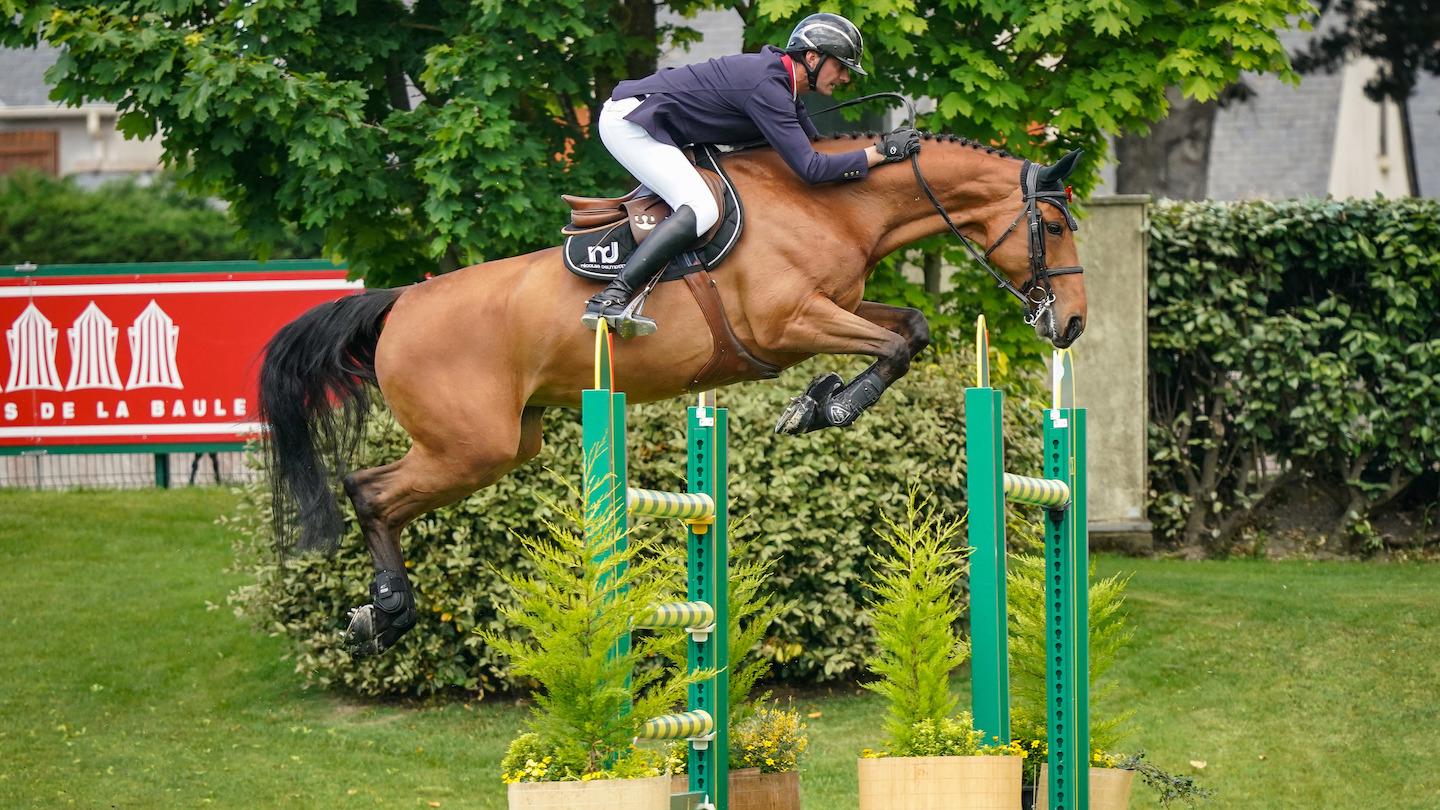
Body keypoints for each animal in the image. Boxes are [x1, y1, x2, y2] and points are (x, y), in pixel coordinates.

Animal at [262, 128, 1088, 651]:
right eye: (1052, 224)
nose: (1073, 323)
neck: (831, 203)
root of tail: (401, 302)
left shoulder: (837, 306)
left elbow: (907, 329)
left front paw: (821, 399)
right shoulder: (790, 322)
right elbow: (889, 345)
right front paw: (823, 405)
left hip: (498, 446)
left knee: (378, 491)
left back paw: (381, 614)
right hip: (470, 446)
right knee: (368, 490)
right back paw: (387, 611)